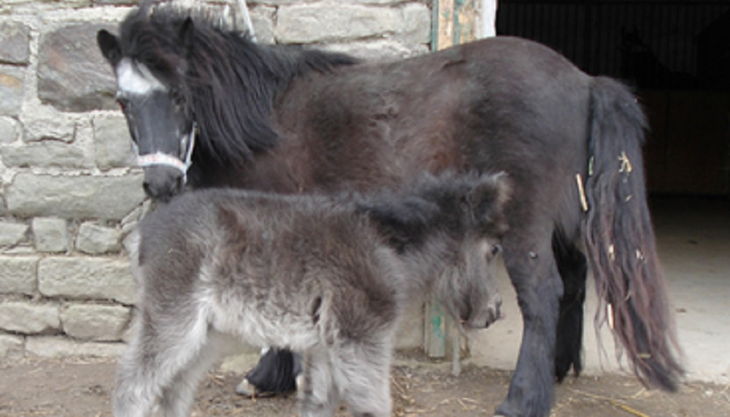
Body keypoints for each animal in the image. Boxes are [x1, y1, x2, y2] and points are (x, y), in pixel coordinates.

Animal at [116, 172, 509, 417]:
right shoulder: (361, 338)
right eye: (493, 249)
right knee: (134, 386)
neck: (389, 246)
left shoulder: (324, 347)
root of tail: (144, 232)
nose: (494, 312)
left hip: (209, 335)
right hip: (173, 319)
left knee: (174, 389)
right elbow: (372, 404)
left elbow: (318, 404)